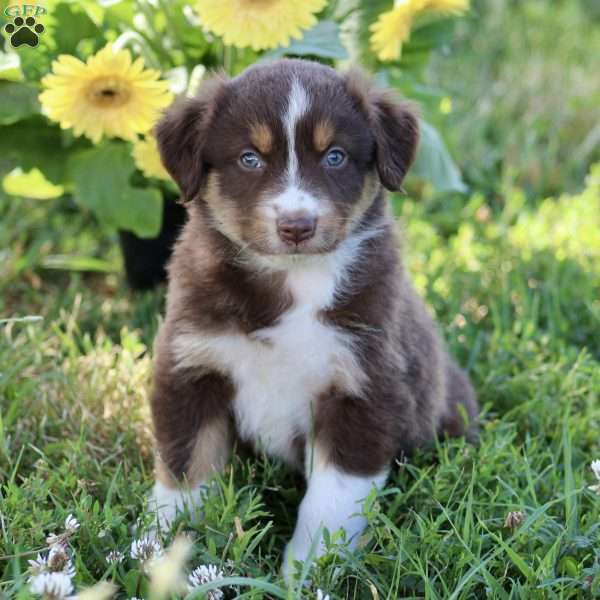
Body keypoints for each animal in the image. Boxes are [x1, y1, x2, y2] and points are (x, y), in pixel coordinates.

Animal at [150, 57, 478, 576]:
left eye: (335, 157)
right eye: (249, 158)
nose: (297, 226)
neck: (292, 283)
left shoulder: (362, 390)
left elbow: (330, 506)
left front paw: (304, 576)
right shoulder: (190, 366)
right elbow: (185, 475)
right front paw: (163, 554)